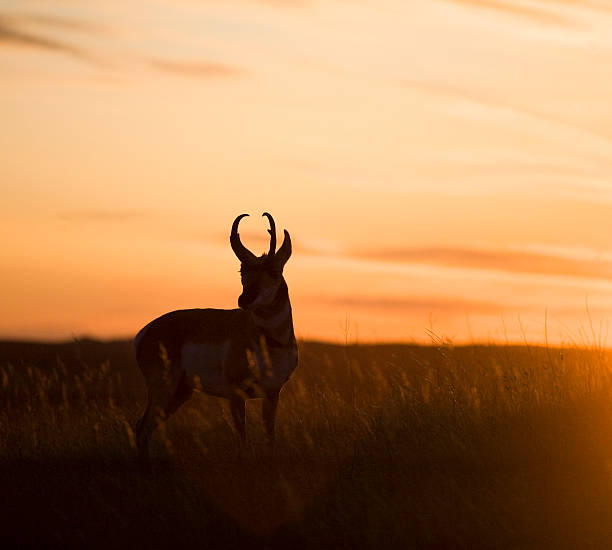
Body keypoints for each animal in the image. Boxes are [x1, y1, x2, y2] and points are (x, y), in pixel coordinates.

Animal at [133, 213, 296, 464]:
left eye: (274, 271)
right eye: (242, 271)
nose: (244, 300)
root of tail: (146, 331)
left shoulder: (272, 393)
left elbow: (270, 437)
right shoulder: (237, 394)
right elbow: (242, 439)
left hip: (180, 393)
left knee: (145, 428)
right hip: (164, 389)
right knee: (141, 428)